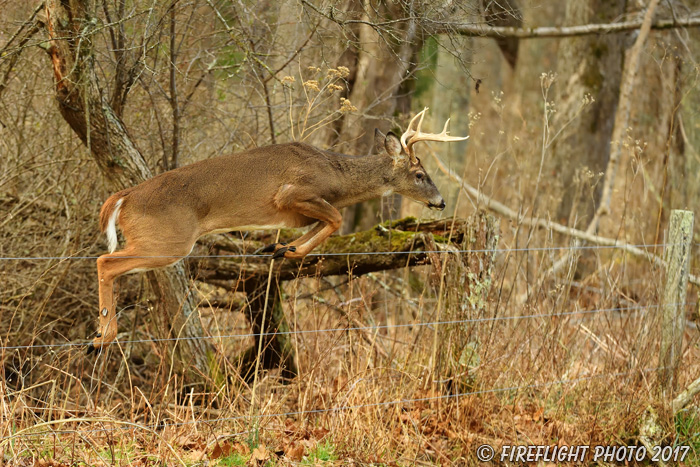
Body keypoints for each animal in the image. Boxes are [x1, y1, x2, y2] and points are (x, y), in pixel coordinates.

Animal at [89, 108, 470, 352]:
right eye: (420, 174)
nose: (440, 202)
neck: (337, 176)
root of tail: (124, 197)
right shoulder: (292, 192)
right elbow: (335, 218)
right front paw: (292, 250)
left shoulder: (299, 210)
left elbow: (321, 223)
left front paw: (279, 249)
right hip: (169, 240)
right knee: (105, 262)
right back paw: (102, 337)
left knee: (107, 261)